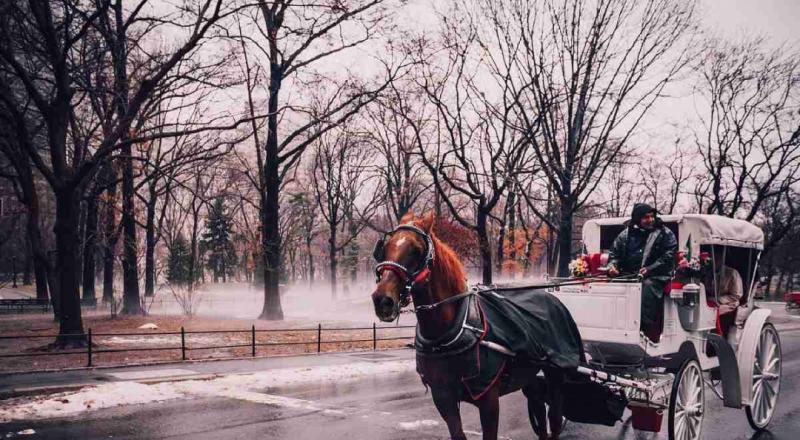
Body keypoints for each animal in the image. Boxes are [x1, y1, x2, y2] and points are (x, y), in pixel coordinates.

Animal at [370, 212, 566, 440]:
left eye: (417, 250)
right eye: (385, 247)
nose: (382, 300)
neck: (447, 334)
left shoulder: (489, 398)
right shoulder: (442, 396)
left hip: (555, 375)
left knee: (554, 417)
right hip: (530, 377)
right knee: (539, 410)